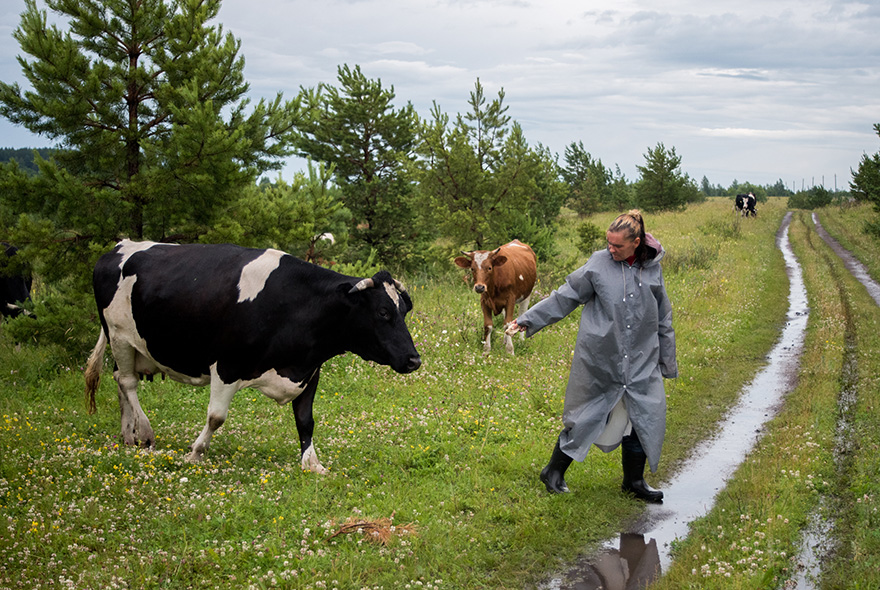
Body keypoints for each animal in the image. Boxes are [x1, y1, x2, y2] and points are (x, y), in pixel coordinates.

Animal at [84, 238, 422, 474]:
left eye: (405, 310)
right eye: (383, 312)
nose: (414, 360)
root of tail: (119, 246)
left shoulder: (309, 370)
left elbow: (306, 420)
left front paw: (312, 464)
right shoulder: (226, 366)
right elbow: (216, 416)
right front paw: (195, 453)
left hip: (132, 347)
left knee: (119, 379)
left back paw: (128, 435)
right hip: (119, 335)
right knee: (128, 383)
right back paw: (145, 432)